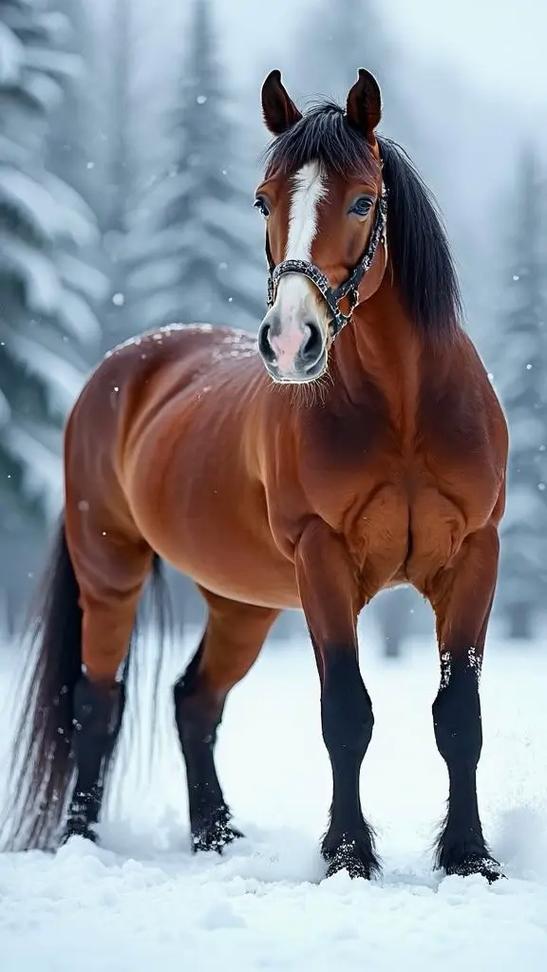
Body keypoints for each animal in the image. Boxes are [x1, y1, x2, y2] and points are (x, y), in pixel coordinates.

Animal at [3, 69, 508, 882]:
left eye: (362, 200)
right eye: (263, 200)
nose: (290, 342)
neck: (402, 409)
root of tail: (119, 370)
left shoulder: (473, 556)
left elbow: (458, 715)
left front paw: (468, 856)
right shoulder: (322, 559)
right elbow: (346, 714)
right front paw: (348, 855)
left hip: (241, 604)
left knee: (193, 701)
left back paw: (214, 833)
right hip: (110, 573)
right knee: (97, 703)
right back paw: (82, 838)